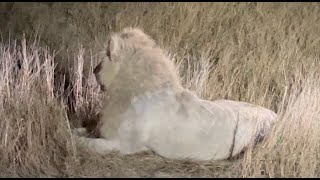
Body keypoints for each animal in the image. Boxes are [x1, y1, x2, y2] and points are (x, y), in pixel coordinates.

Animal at [74, 27, 278, 161]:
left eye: (106, 56)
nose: (94, 70)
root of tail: (275, 115)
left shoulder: (125, 144)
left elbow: (87, 143)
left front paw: (72, 139)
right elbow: (85, 130)